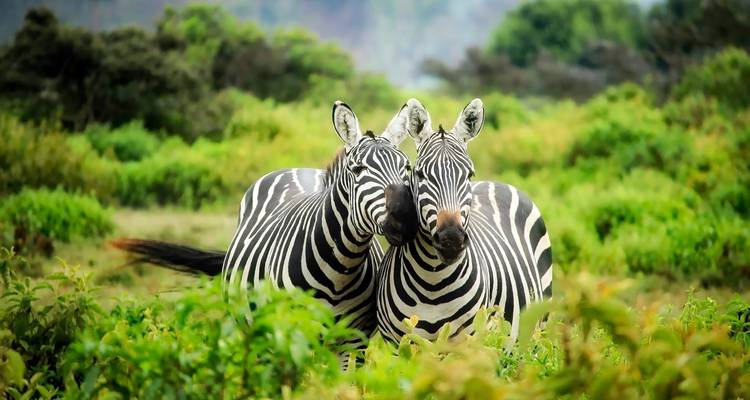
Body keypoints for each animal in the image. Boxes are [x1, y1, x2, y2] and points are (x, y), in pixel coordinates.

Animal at [114, 101, 418, 336]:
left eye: (406, 167)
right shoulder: (291, 332)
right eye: (357, 169)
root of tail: (297, 168)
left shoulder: (352, 341)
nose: (405, 219)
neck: (340, 268)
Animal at [375, 98, 553, 342]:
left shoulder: (467, 342)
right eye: (420, 174)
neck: (432, 283)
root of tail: (495, 182)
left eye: (469, 174)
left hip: (537, 327)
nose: (451, 240)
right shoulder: (397, 343)